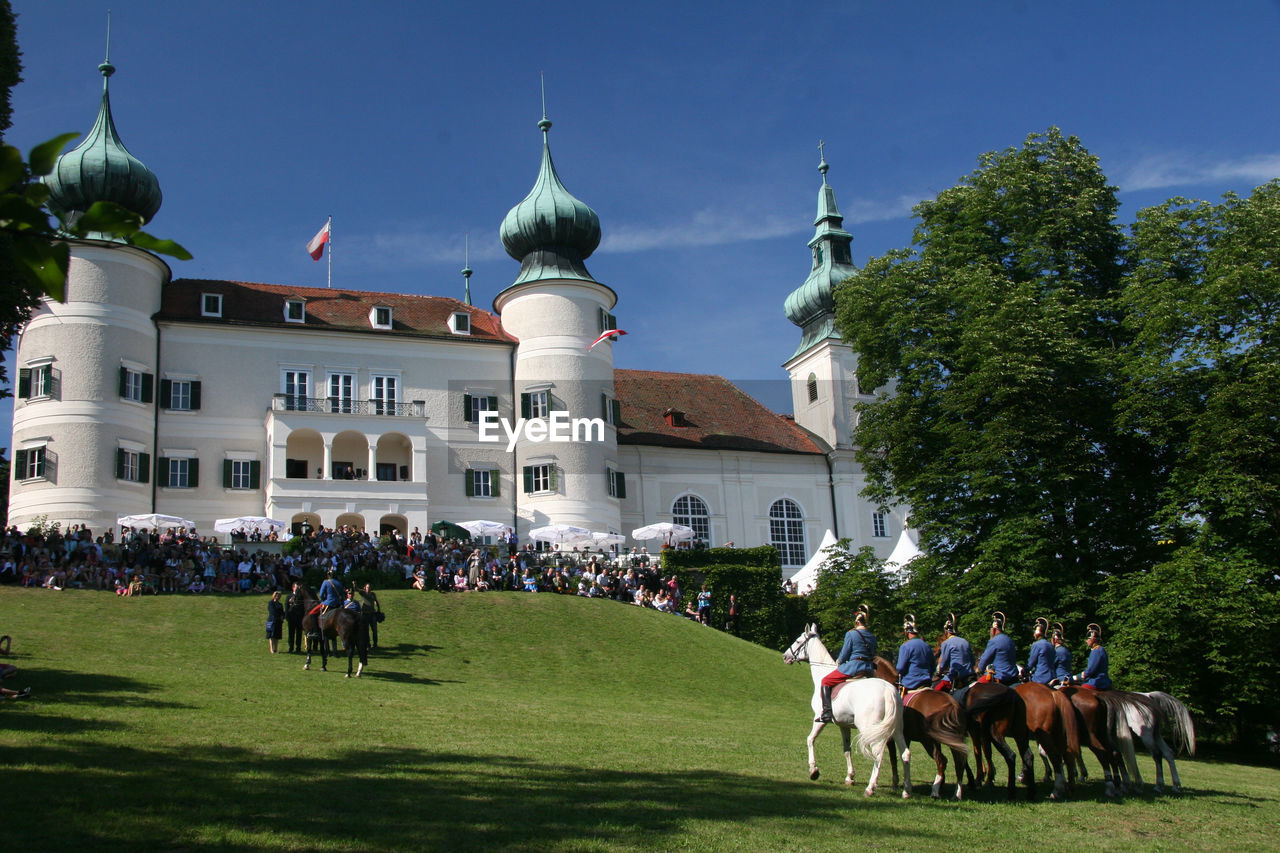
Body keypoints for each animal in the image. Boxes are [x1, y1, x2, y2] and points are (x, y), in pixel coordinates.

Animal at [778, 622, 911, 794]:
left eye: (798, 640)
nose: (785, 656)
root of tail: (888, 690)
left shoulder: (820, 719)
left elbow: (810, 739)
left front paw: (813, 770)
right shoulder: (844, 725)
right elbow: (847, 749)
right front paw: (850, 777)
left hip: (871, 729)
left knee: (878, 753)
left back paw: (870, 787)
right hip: (897, 730)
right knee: (905, 753)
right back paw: (906, 790)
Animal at [875, 655, 972, 799]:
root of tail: (951, 704)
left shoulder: (891, 738)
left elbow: (894, 759)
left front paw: (895, 785)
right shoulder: (906, 738)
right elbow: (903, 757)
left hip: (929, 741)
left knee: (942, 760)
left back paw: (935, 791)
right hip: (952, 740)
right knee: (959, 763)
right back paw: (956, 793)